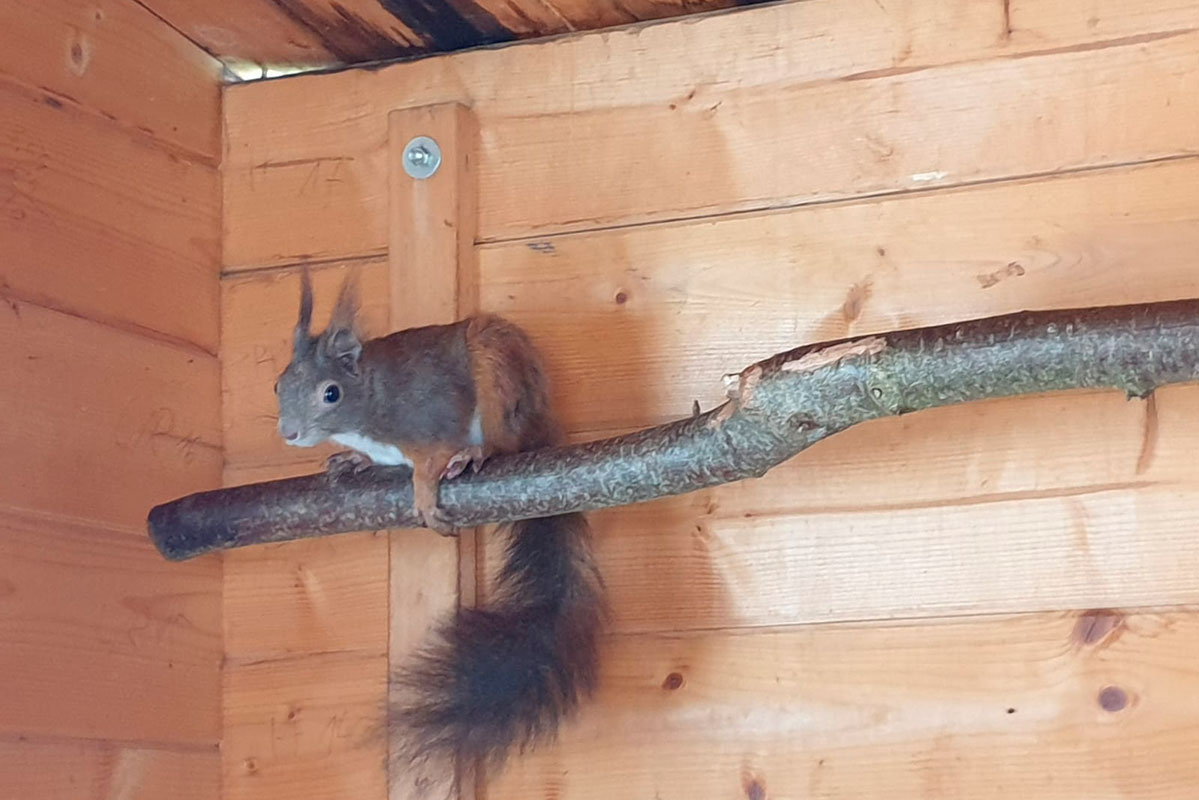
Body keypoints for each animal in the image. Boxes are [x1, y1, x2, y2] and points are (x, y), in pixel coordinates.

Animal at [274, 268, 606, 784]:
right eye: (278, 385)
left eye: (331, 393)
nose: (288, 432)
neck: (372, 401)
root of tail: (543, 421)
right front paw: (352, 461)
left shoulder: (432, 412)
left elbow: (432, 454)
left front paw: (424, 486)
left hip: (496, 372)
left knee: (505, 440)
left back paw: (476, 453)